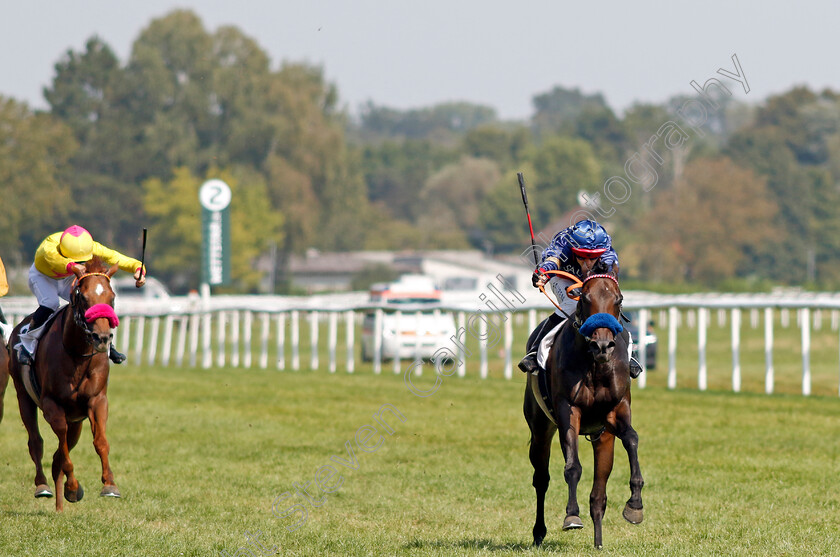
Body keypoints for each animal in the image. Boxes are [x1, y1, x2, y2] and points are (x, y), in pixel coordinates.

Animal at [8, 256, 123, 508]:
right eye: (84, 297)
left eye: (111, 297)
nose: (103, 338)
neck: (77, 354)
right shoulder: (53, 405)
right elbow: (60, 445)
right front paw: (71, 487)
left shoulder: (97, 400)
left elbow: (100, 441)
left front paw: (110, 484)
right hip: (23, 397)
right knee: (36, 442)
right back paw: (43, 485)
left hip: (76, 419)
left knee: (66, 444)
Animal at [524, 268, 644, 548]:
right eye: (584, 298)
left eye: (619, 299)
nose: (602, 346)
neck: (595, 366)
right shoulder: (568, 410)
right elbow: (573, 467)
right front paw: (571, 516)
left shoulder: (617, 410)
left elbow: (632, 438)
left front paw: (635, 504)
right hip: (540, 428)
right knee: (541, 479)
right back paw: (538, 533)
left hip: (603, 438)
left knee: (599, 492)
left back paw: (598, 541)